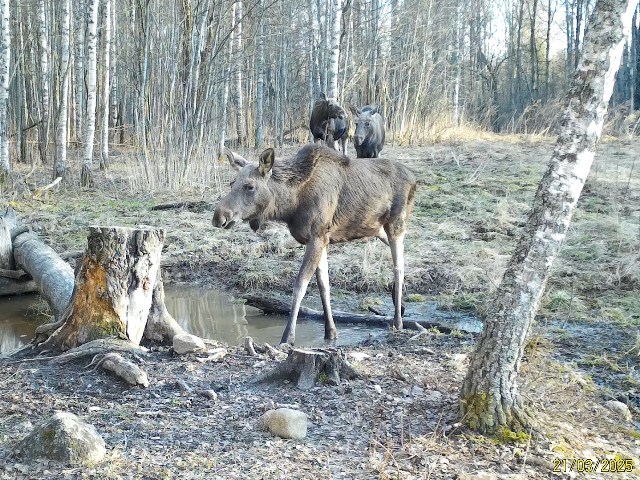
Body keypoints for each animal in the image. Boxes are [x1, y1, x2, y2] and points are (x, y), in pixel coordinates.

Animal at [213, 144, 416, 345]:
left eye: (250, 186)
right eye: (231, 184)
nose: (219, 217)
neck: (290, 205)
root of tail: (415, 179)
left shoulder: (317, 236)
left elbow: (300, 285)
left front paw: (288, 337)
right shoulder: (322, 239)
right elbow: (323, 285)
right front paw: (330, 331)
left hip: (396, 224)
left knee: (399, 267)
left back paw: (398, 321)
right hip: (377, 228)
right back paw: (401, 307)